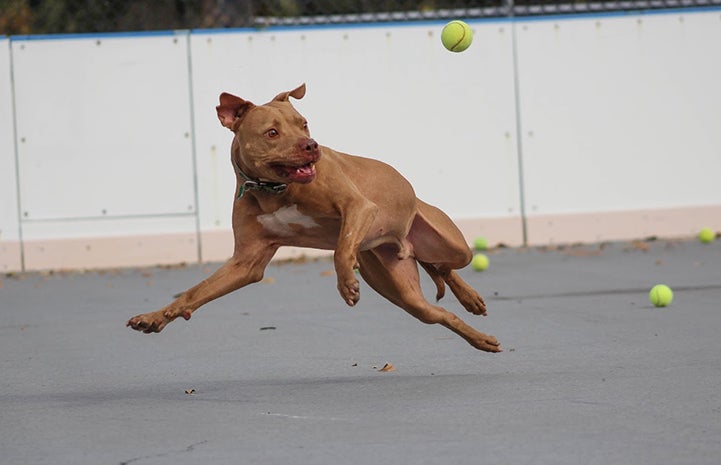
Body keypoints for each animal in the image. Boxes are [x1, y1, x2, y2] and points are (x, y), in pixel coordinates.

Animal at [126, 84, 500, 352]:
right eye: (272, 132)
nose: (311, 145)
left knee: (446, 265)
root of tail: (404, 243)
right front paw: (156, 317)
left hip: (454, 245)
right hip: (403, 291)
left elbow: (341, 248)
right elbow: (194, 293)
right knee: (437, 304)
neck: (275, 190)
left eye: (303, 124)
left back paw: (471, 299)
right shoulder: (245, 263)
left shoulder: (358, 207)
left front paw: (346, 284)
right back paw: (480, 337)